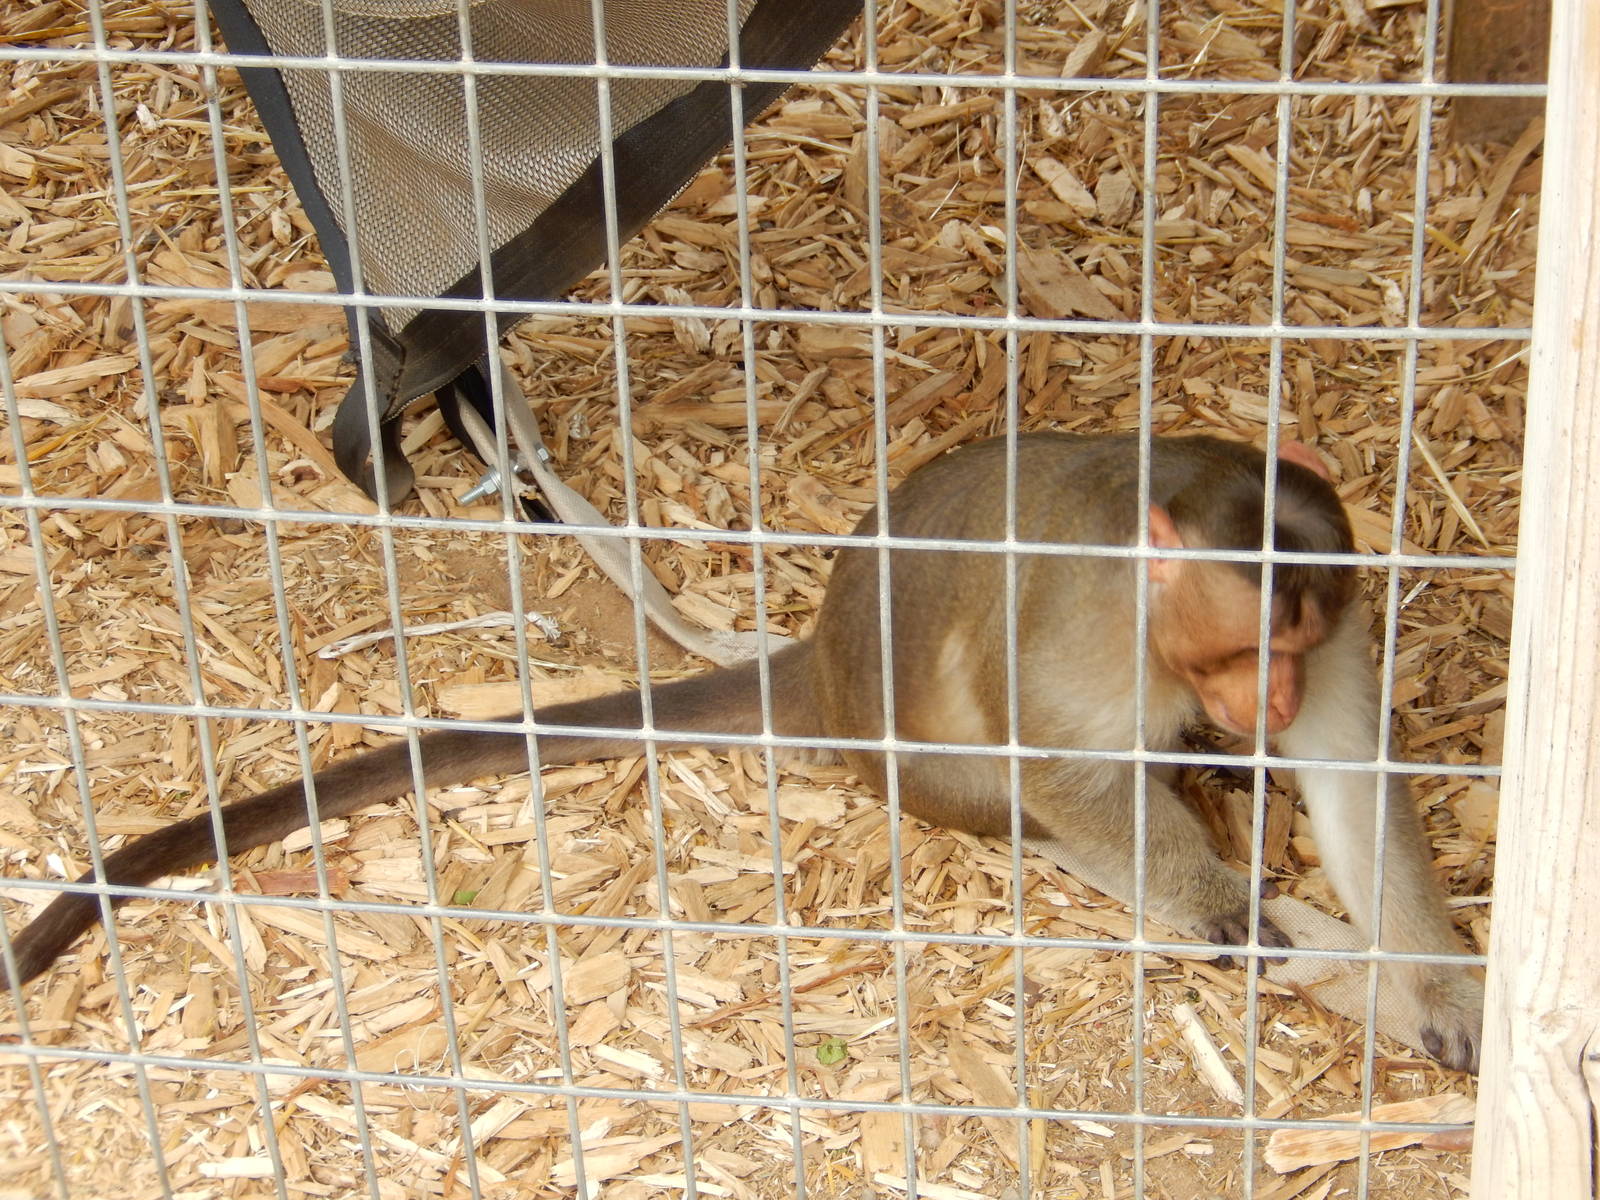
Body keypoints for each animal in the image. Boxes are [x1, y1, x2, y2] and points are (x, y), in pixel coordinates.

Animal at [0, 432, 1484, 1071]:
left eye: (1288, 653)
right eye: (1241, 654)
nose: (1261, 704)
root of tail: (819, 665)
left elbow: (1353, 776)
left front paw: (1439, 983)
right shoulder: (1087, 627)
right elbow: (1061, 763)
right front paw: (1227, 906)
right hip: (919, 760)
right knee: (1022, 790)